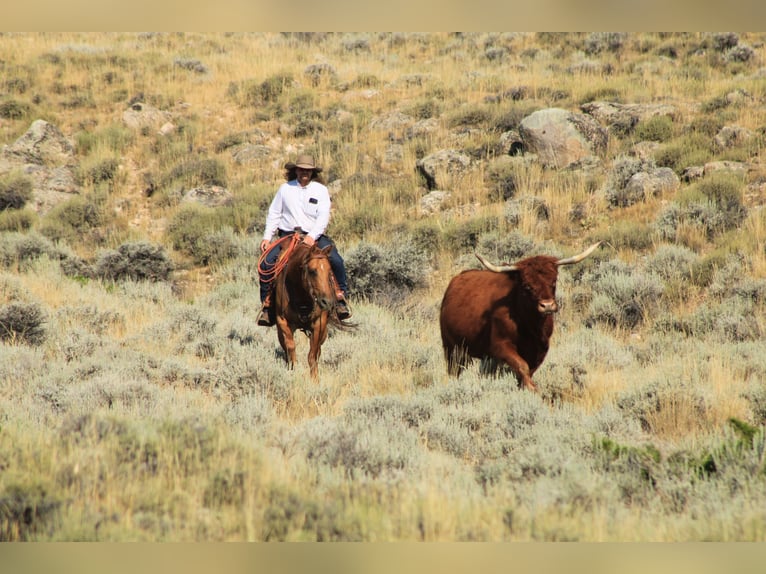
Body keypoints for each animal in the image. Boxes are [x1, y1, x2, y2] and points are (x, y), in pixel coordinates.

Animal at [272, 236, 348, 380]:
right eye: (312, 271)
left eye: (330, 272)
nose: (327, 302)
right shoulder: (282, 321)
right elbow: (290, 348)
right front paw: (293, 370)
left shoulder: (319, 324)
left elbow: (312, 355)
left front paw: (315, 379)